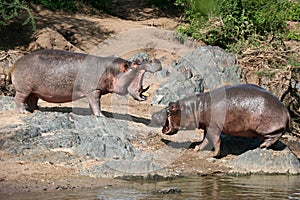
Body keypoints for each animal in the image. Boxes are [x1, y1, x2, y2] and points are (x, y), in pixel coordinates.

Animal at [11, 49, 162, 116]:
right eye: (136, 63)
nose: (156, 60)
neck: (114, 70)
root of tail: (15, 63)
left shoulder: (94, 91)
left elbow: (93, 103)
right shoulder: (93, 90)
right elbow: (96, 103)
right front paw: (101, 116)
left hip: (34, 91)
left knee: (32, 100)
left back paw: (37, 110)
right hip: (23, 89)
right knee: (18, 99)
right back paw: (24, 112)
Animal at [152, 83, 290, 157]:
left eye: (170, 109)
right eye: (169, 103)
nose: (153, 114)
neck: (195, 107)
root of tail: (286, 109)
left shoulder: (213, 127)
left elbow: (215, 140)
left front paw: (214, 155)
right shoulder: (207, 127)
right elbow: (206, 140)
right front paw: (197, 148)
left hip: (268, 127)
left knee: (275, 135)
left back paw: (263, 145)